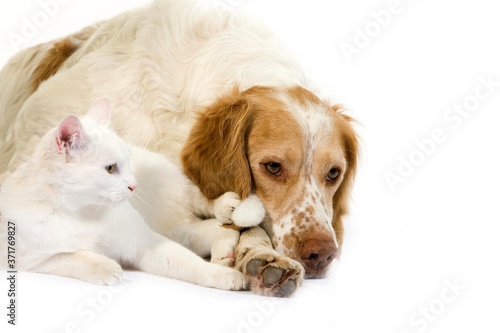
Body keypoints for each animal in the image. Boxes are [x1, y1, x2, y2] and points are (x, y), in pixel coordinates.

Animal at [0, 100, 264, 290]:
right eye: (110, 168)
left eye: (127, 161)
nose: (134, 186)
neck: (85, 213)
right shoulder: (30, 259)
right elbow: (77, 257)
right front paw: (108, 267)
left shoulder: (143, 242)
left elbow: (190, 264)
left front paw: (224, 276)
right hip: (172, 227)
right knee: (205, 230)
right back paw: (223, 249)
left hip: (171, 190)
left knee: (200, 203)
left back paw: (224, 209)